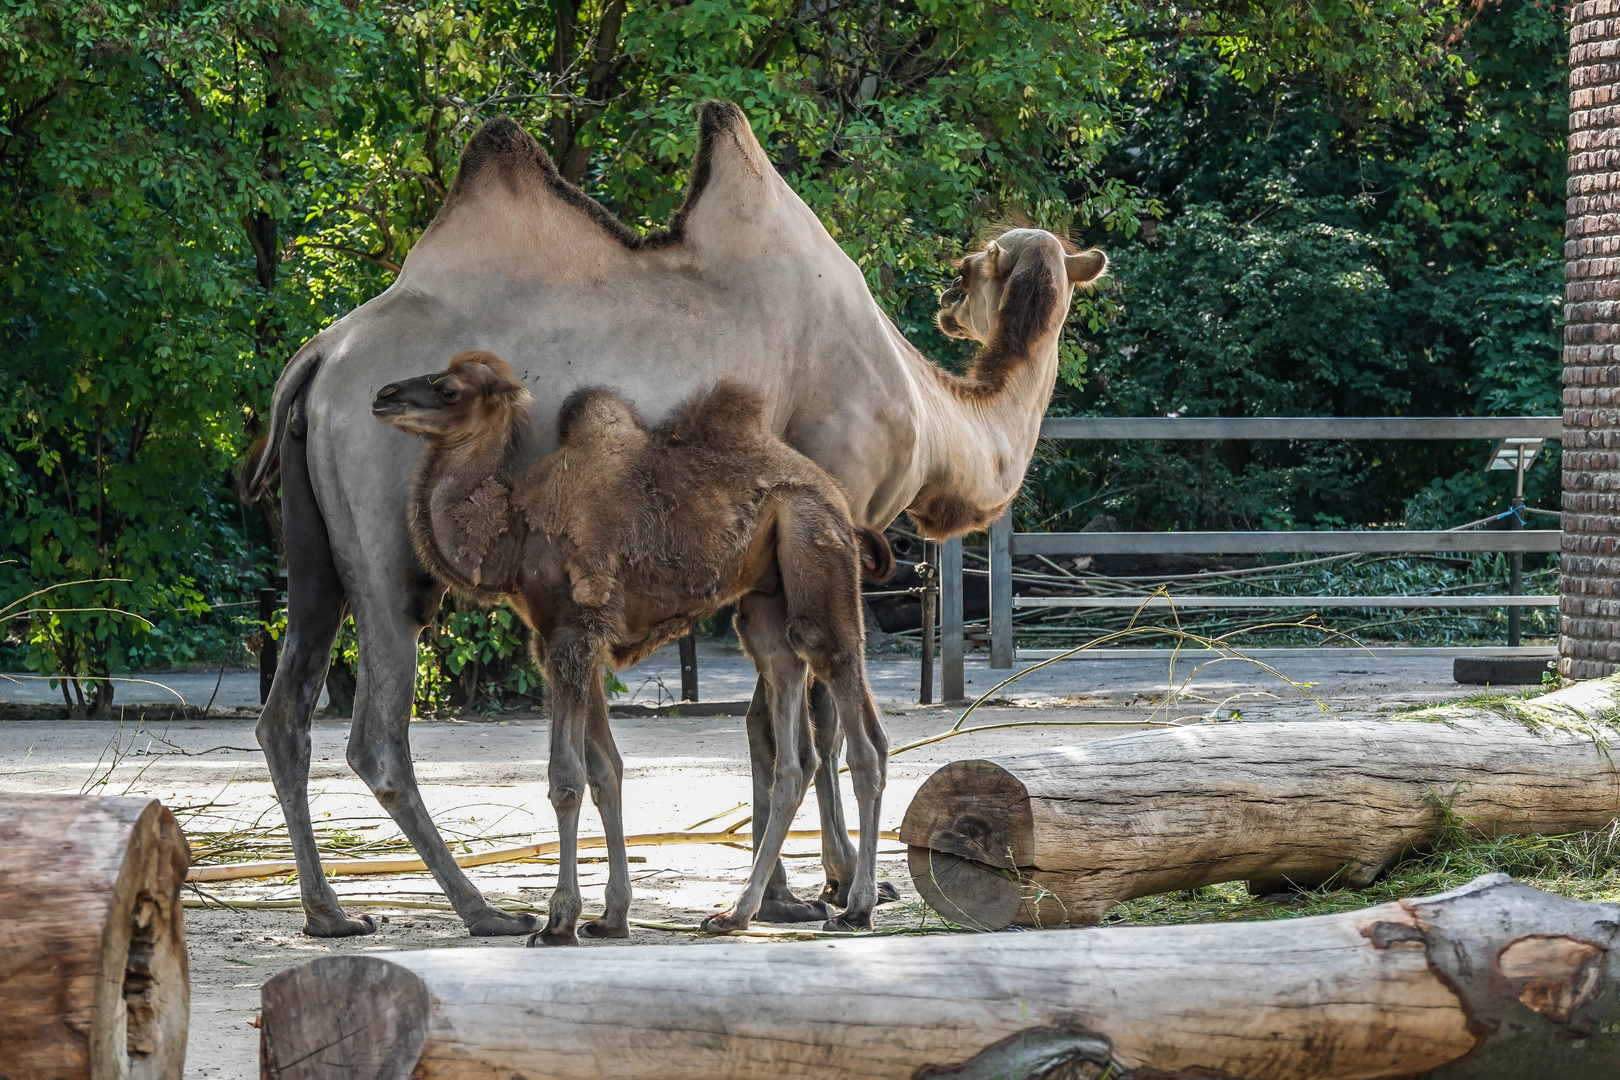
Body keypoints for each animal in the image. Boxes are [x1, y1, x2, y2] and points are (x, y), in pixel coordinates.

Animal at [374, 354, 894, 945]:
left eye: (448, 390)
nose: (385, 395)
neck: (517, 532)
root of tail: (837, 499)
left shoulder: (573, 632)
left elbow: (566, 778)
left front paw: (558, 922)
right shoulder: (563, 640)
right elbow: (607, 772)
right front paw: (610, 917)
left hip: (816, 557)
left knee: (859, 729)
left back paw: (856, 908)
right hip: (766, 598)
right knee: (793, 746)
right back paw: (735, 914)